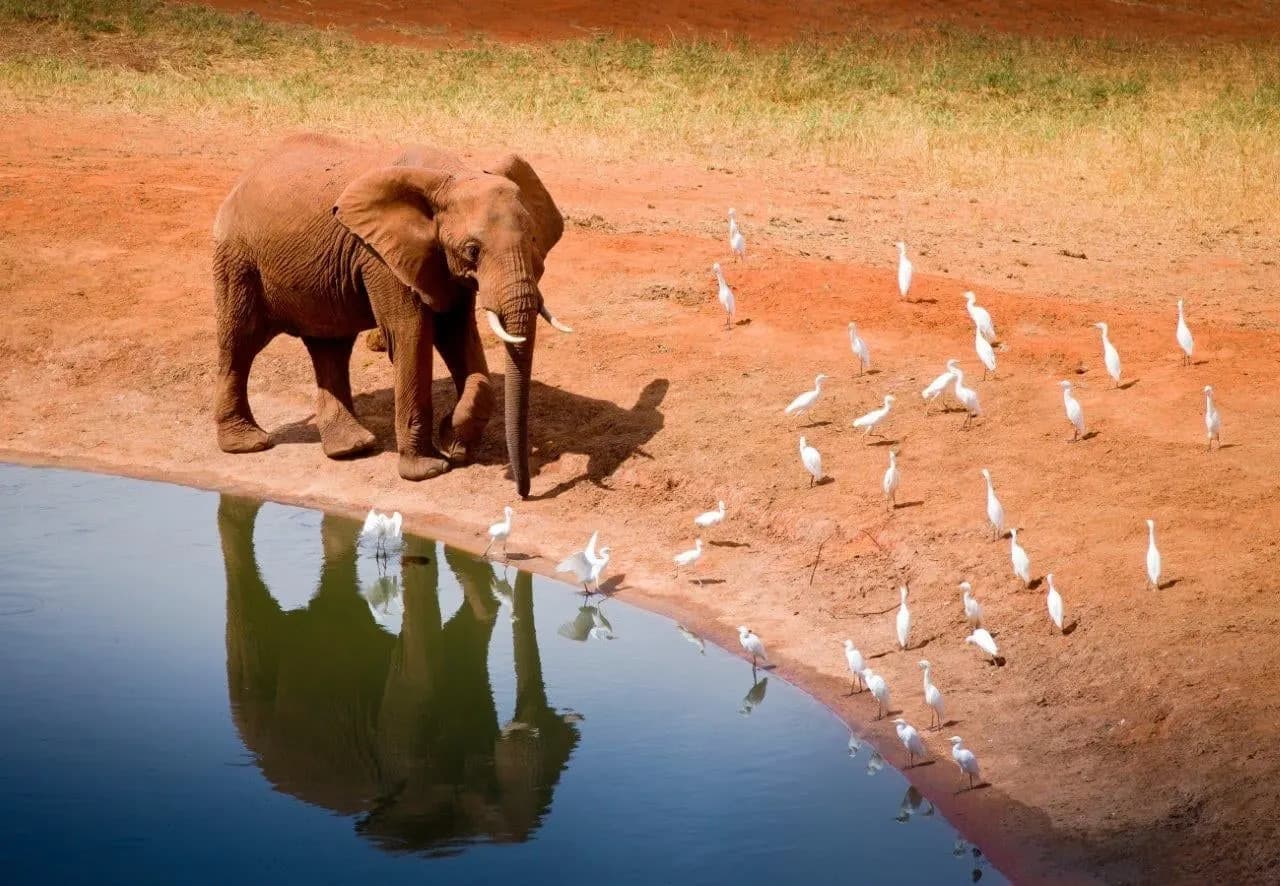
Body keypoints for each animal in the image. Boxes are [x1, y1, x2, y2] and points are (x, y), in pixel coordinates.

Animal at [212, 134, 573, 497]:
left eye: (533, 240)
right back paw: (248, 444)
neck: (454, 176)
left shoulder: (437, 261)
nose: (524, 493)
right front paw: (428, 469)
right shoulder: (382, 258)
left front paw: (454, 441)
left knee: (331, 346)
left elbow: (457, 334)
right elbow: (411, 335)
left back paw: (352, 448)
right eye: (472, 251)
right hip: (237, 259)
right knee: (240, 343)